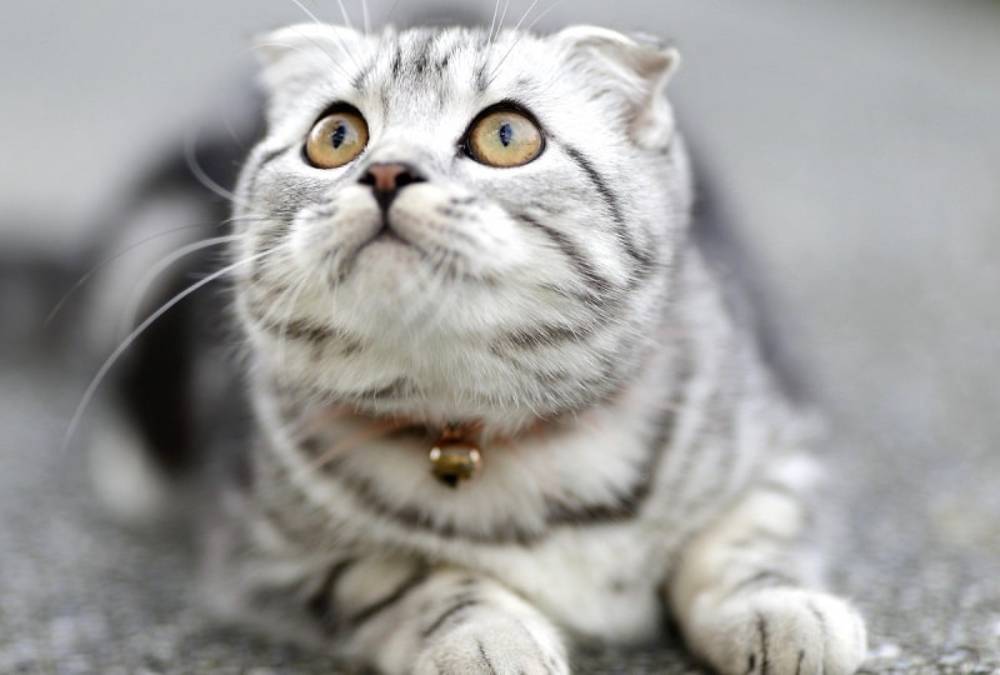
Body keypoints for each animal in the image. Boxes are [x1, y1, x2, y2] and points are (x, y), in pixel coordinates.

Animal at [84, 15, 868, 675]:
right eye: (335, 137)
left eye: (506, 135)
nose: (386, 171)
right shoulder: (264, 551)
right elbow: (411, 575)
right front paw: (488, 637)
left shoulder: (784, 448)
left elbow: (746, 538)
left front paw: (780, 610)